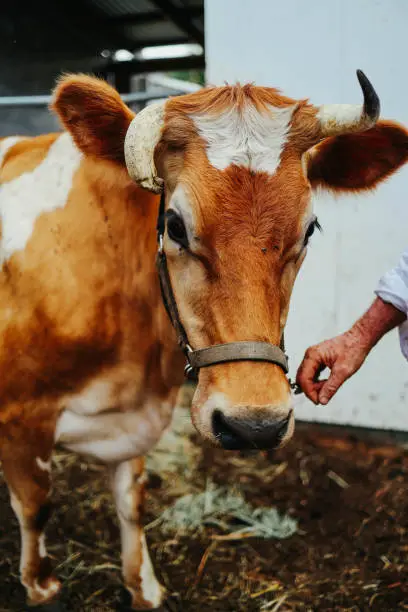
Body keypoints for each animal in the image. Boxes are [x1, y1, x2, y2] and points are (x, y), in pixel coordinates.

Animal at [0, 71, 406, 608]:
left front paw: (144, 586)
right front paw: (43, 586)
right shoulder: (21, 421)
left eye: (310, 229)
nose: (254, 425)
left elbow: (132, 501)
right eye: (174, 225)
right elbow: (36, 510)